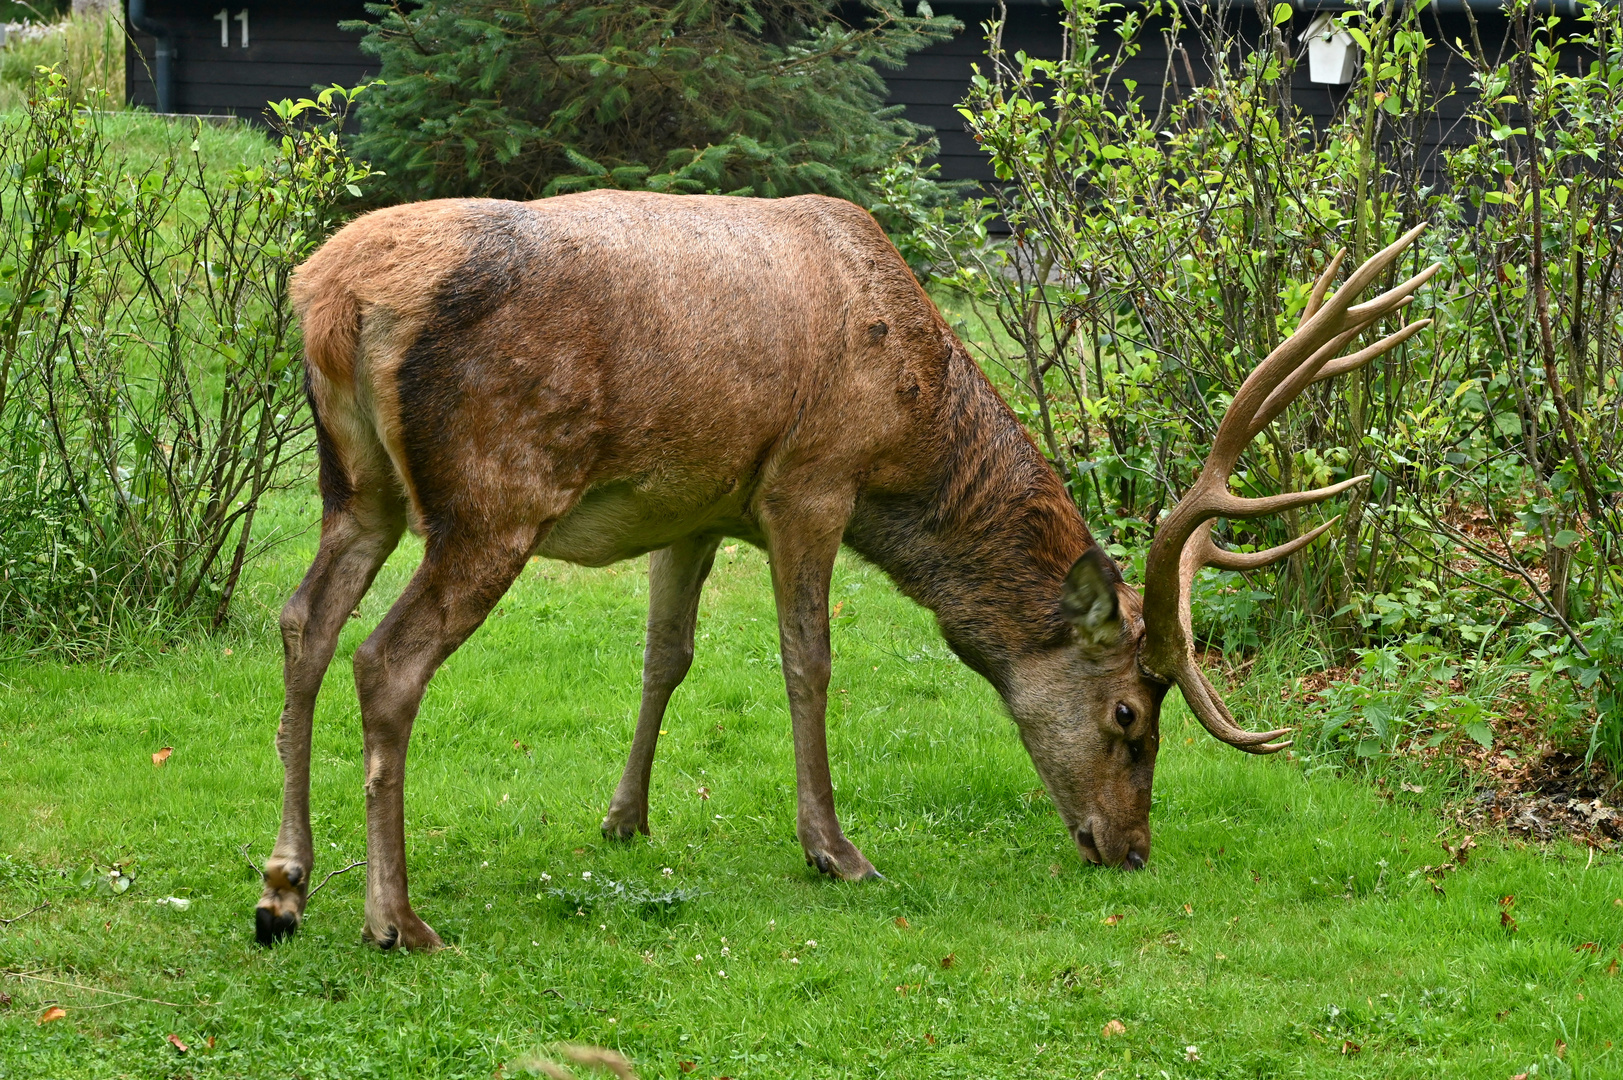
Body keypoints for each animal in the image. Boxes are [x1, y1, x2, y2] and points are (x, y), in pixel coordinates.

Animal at [253, 189, 1434, 948]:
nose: (1131, 849)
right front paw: (835, 850)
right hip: (491, 493)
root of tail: (332, 294)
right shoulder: (808, 483)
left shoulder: (695, 500)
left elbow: (666, 657)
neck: (909, 422)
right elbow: (808, 665)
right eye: (1130, 718)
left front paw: (625, 819)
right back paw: (395, 918)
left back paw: (285, 886)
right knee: (385, 660)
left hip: (358, 484)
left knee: (303, 621)